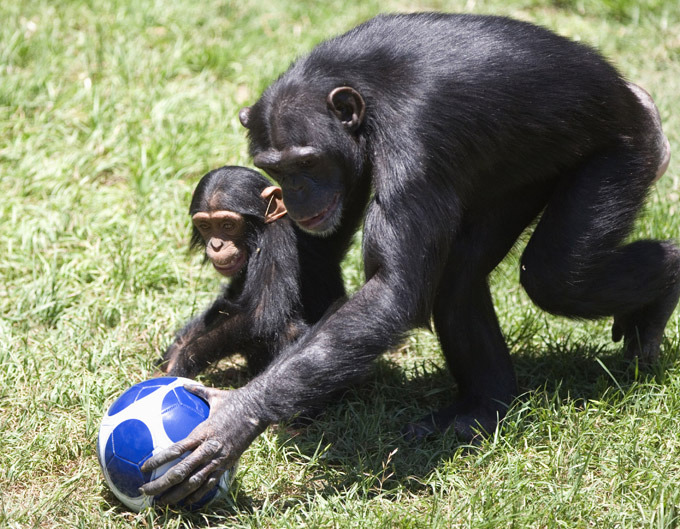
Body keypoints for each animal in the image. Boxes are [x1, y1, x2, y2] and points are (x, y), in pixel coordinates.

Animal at [158, 165, 366, 376]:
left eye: (228, 225)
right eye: (205, 226)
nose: (216, 245)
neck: (257, 234)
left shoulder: (275, 241)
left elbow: (260, 314)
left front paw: (183, 358)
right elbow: (231, 299)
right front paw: (173, 354)